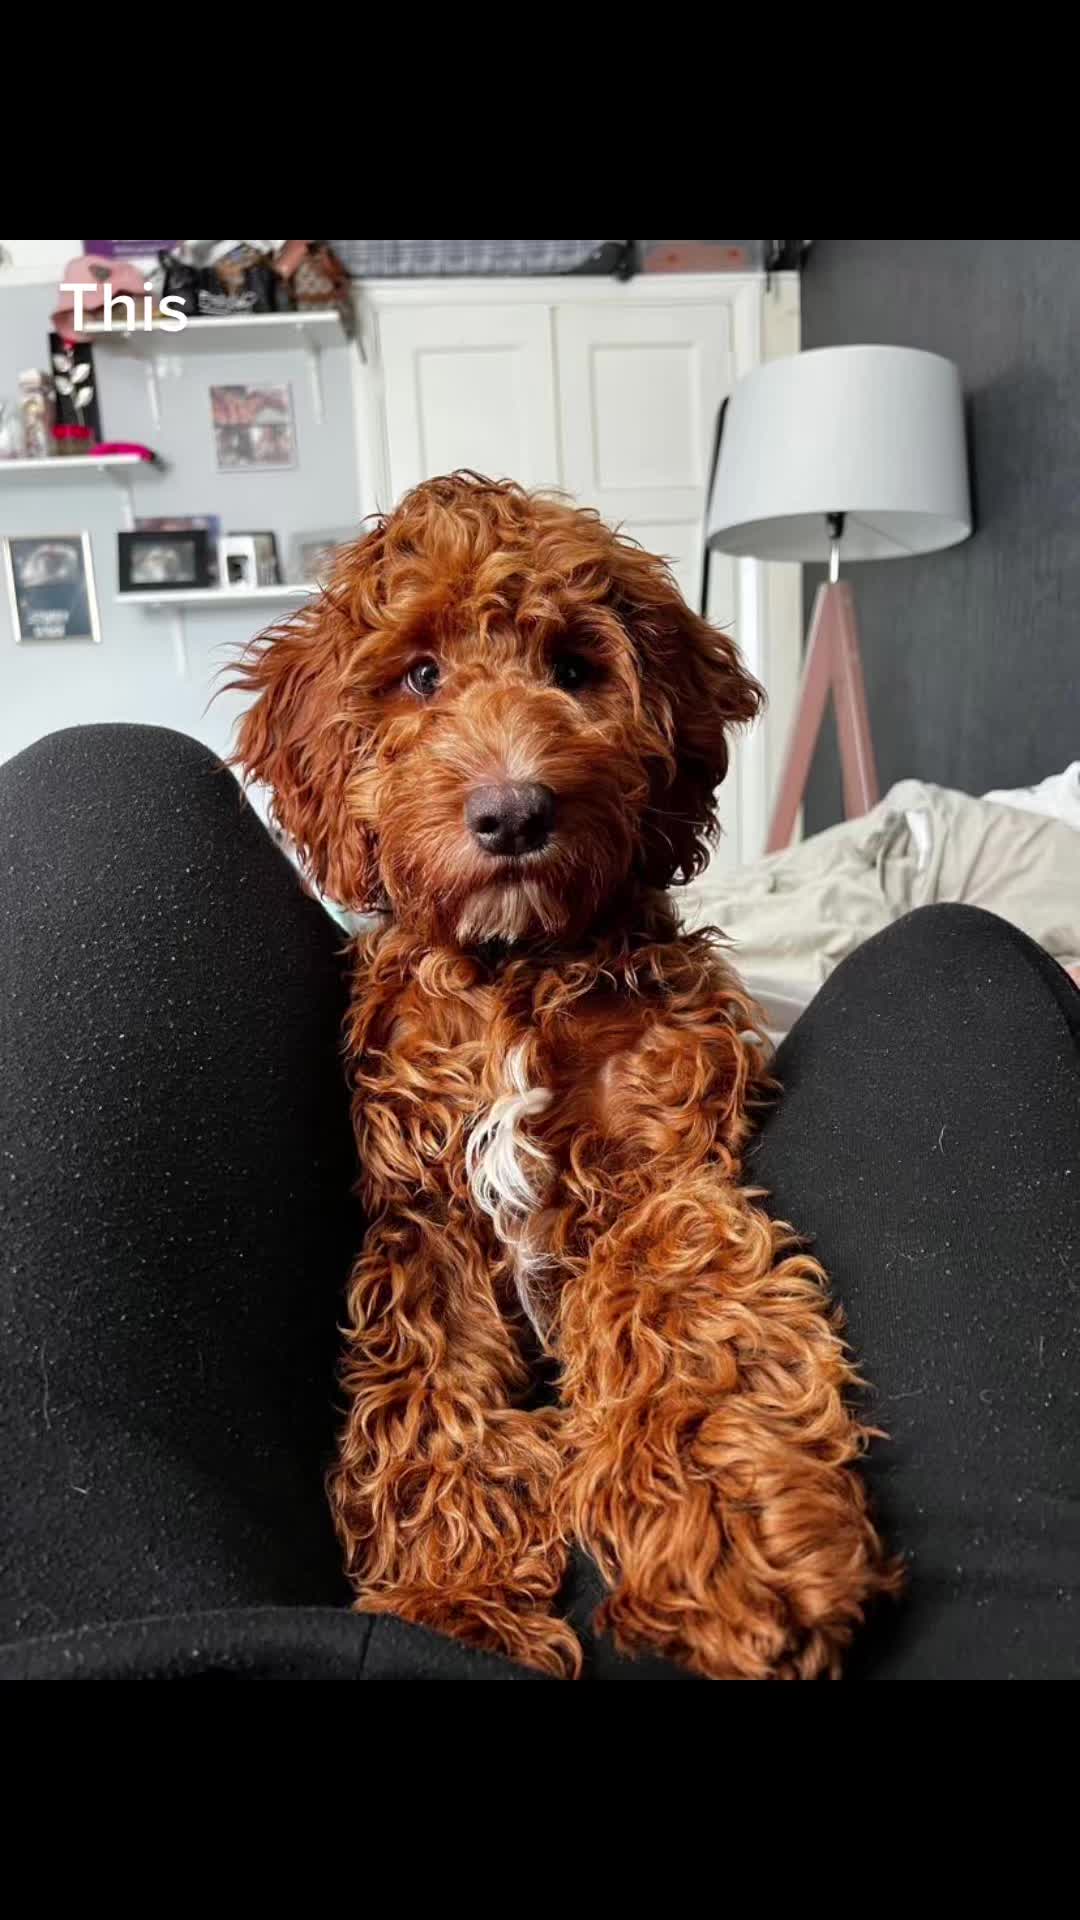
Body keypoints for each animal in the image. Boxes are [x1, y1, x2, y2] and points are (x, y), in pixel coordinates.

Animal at [232, 472, 898, 1679]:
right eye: (421, 674)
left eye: (578, 669)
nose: (513, 813)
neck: (515, 969)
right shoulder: (426, 1218)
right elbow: (427, 1400)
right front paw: (457, 1597)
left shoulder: (657, 1170)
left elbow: (685, 1318)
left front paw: (739, 1543)